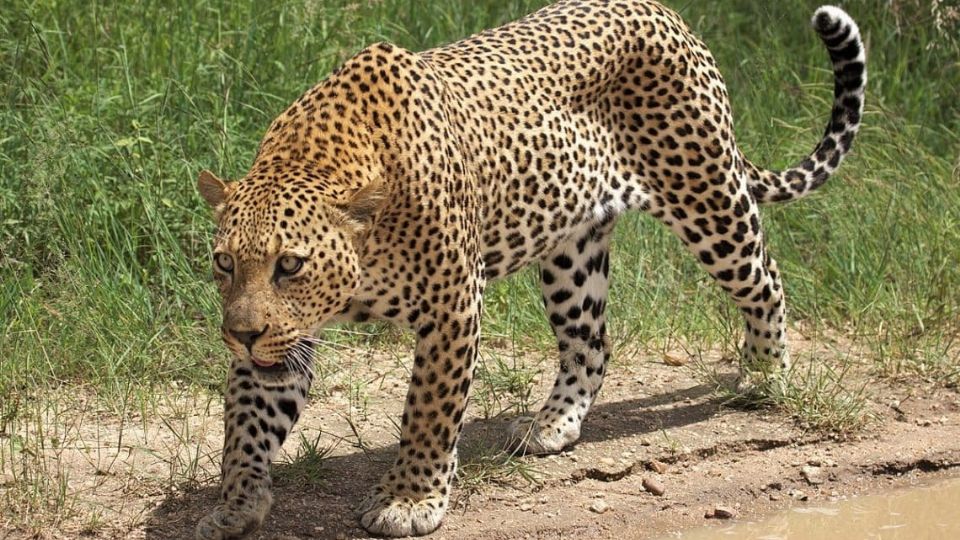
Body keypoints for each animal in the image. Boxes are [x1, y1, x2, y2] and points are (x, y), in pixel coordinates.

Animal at [193, 3, 864, 536]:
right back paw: (552, 425)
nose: (240, 334)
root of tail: (667, 14)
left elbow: (429, 410)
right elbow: (246, 420)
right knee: (591, 343)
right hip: (572, 253)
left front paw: (410, 499)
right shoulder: (282, 339)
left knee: (766, 280)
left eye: (290, 265)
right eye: (225, 262)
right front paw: (235, 503)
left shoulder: (452, 304)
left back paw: (765, 375)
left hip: (708, 198)